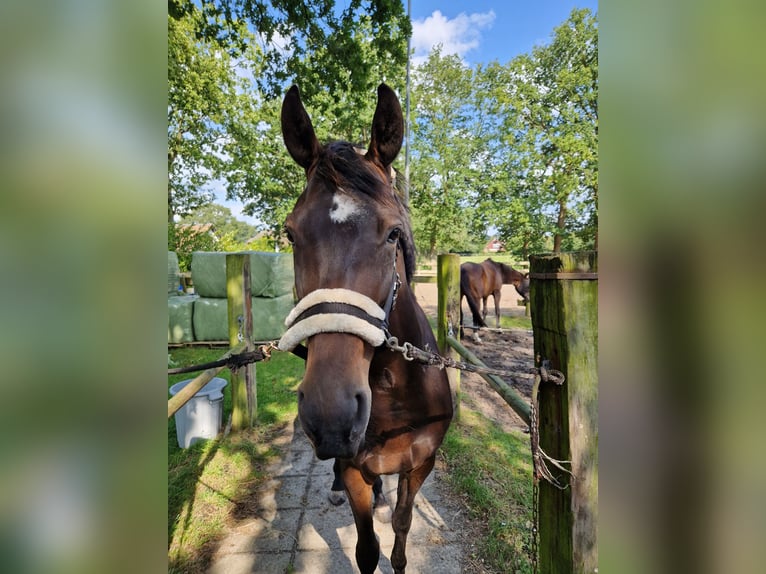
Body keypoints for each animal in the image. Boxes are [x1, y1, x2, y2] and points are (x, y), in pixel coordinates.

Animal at [278, 83, 452, 574]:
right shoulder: (357, 466)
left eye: (393, 233)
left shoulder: (420, 465)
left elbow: (401, 529)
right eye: (291, 234)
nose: (331, 412)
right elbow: (367, 548)